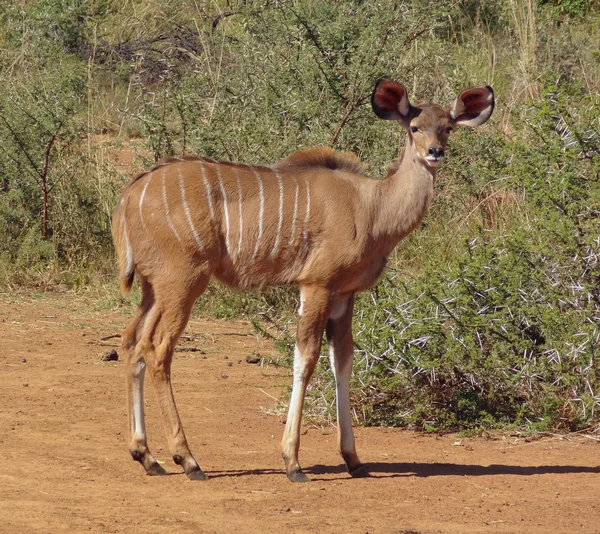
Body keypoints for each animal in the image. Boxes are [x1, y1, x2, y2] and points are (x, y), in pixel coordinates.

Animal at [111, 79, 492, 486]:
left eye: (447, 128)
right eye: (414, 127)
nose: (434, 153)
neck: (372, 206)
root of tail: (129, 196)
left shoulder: (344, 294)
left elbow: (343, 360)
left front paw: (353, 459)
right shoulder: (316, 284)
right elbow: (305, 359)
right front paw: (292, 462)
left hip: (154, 288)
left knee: (132, 342)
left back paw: (146, 456)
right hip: (183, 281)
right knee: (158, 349)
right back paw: (188, 460)